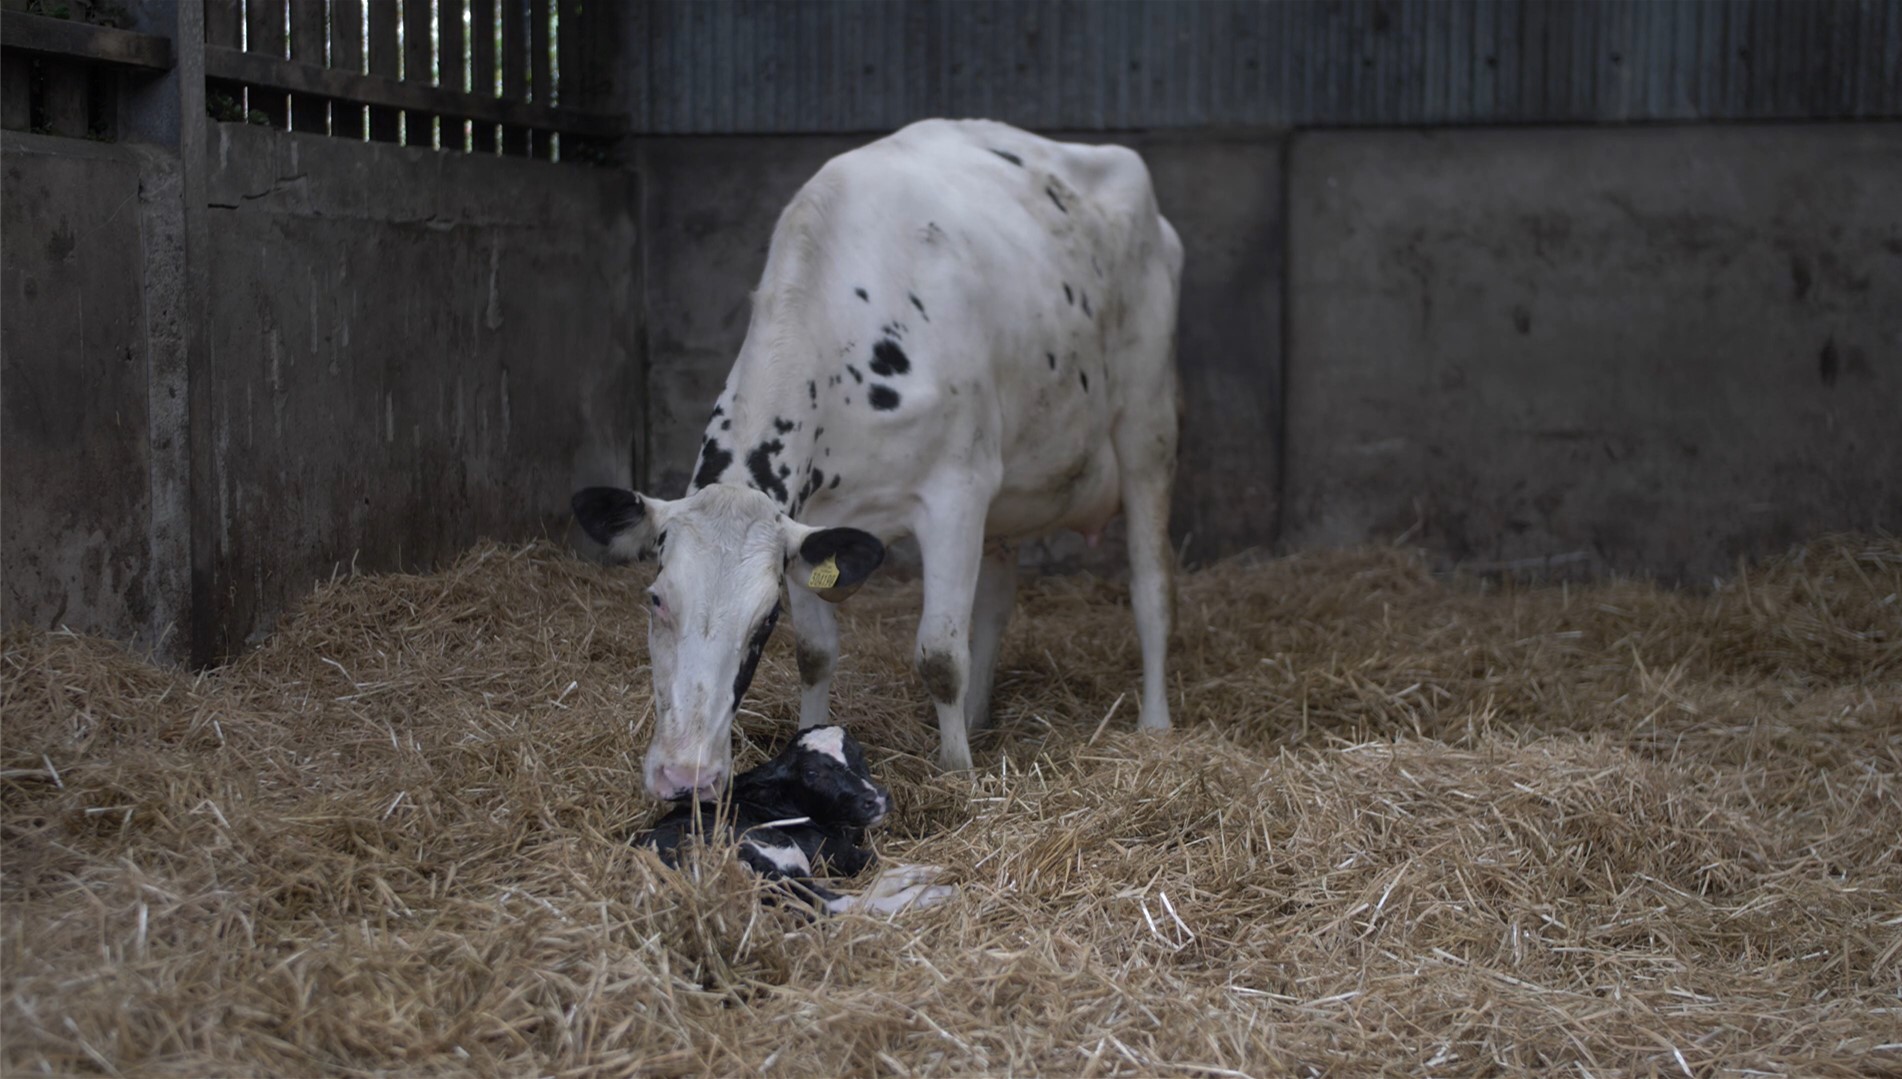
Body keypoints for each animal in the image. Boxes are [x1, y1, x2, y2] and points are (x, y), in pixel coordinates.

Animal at [570, 117, 1179, 803]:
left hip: (1148, 427)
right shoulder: (809, 521)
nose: (684, 776)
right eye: (655, 598)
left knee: (1150, 585)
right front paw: (809, 742)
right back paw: (978, 720)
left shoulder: (956, 493)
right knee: (996, 601)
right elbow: (816, 654)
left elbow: (940, 655)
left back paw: (1154, 725)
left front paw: (957, 773)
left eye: (763, 619)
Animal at [639, 723, 951, 917]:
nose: (876, 799)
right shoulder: (834, 852)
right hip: (776, 848)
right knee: (838, 904)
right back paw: (931, 892)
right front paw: (930, 869)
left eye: (859, 753)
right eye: (812, 773)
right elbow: (880, 862)